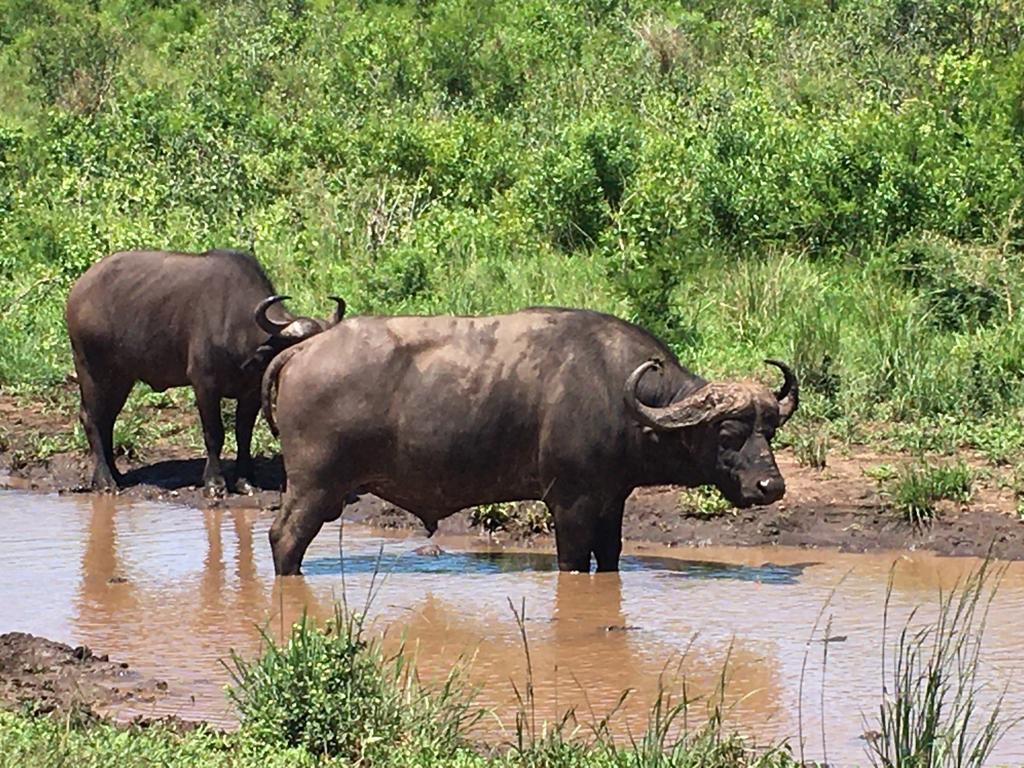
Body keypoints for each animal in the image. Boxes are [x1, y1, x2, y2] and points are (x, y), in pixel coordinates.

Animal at [65, 249, 344, 495]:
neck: (237, 324)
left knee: (107, 419)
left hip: (121, 377)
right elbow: (214, 434)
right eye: (298, 349)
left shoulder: (252, 392)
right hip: (91, 369)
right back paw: (105, 480)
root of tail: (78, 291)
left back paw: (115, 473)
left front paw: (245, 481)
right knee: (91, 417)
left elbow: (243, 434)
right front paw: (215, 483)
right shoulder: (204, 384)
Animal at [258, 309, 798, 573]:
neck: (621, 397)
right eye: (728, 433)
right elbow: (573, 561)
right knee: (285, 539)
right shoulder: (570, 504)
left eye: (769, 430)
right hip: (314, 487)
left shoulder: (612, 500)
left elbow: (610, 556)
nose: (771, 487)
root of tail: (304, 349)